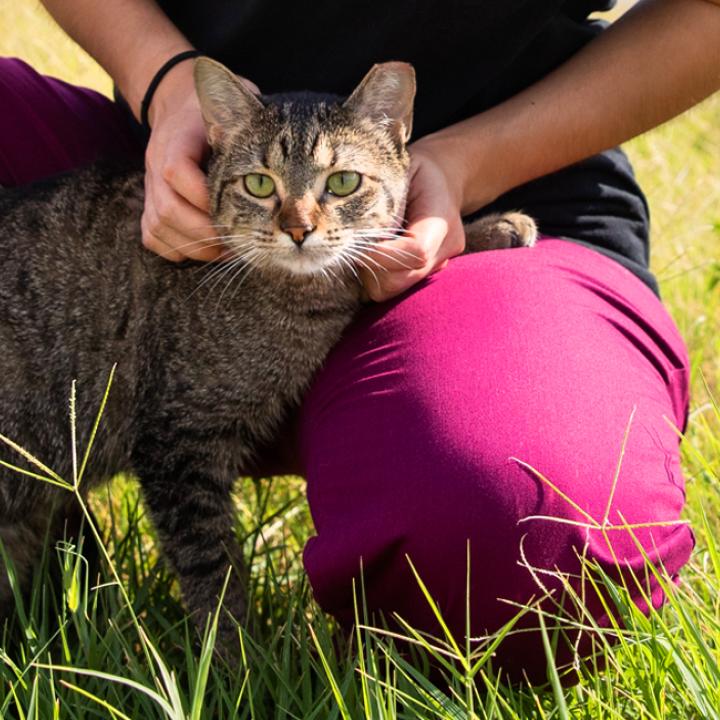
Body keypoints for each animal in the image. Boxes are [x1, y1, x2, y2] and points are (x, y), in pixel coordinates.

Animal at [0, 59, 536, 648]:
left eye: (342, 181)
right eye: (259, 184)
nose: (298, 229)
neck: (301, 299)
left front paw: (492, 227)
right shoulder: (178, 444)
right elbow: (213, 572)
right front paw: (238, 658)